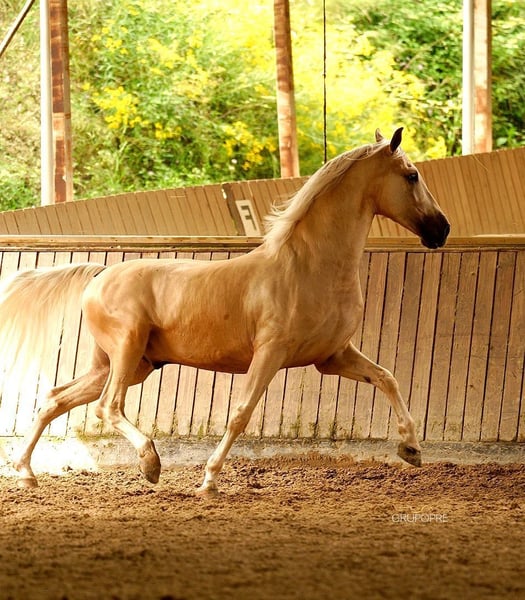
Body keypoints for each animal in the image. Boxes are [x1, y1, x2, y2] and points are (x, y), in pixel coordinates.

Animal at [1, 127, 449, 493]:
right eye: (411, 176)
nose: (441, 229)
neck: (310, 267)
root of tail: (99, 274)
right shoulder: (271, 353)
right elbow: (240, 413)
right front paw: (209, 480)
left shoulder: (333, 356)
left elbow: (387, 377)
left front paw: (411, 449)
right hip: (127, 351)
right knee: (107, 406)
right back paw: (150, 464)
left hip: (124, 363)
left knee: (54, 399)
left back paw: (26, 474)